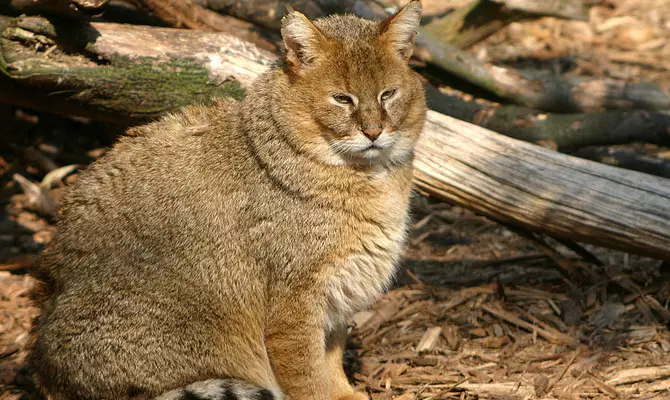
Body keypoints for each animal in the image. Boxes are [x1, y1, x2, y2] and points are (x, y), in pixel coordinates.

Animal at [30, 1, 426, 398]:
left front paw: (345, 391)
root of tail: (46, 370)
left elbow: (331, 360)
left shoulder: (339, 295)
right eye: (342, 99)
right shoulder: (295, 304)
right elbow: (308, 378)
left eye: (387, 95)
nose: (373, 132)